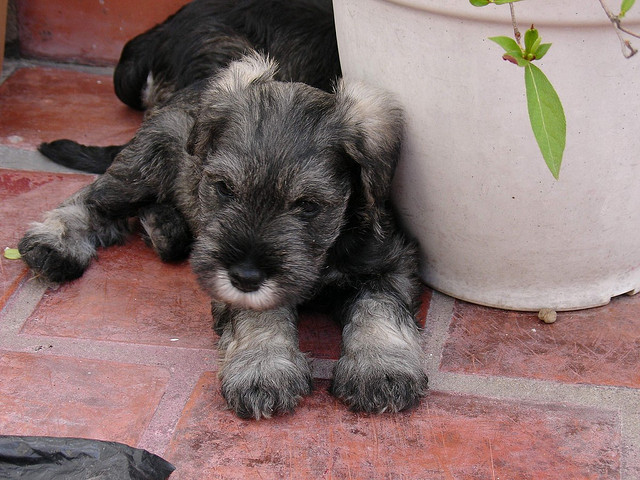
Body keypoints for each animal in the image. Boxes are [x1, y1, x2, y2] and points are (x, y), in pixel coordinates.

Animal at [17, 52, 428, 418]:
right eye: (224, 187)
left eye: (308, 205)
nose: (245, 276)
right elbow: (258, 314)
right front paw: (262, 368)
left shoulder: (389, 264)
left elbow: (379, 309)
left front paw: (382, 368)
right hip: (143, 164)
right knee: (93, 200)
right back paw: (54, 242)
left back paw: (161, 228)